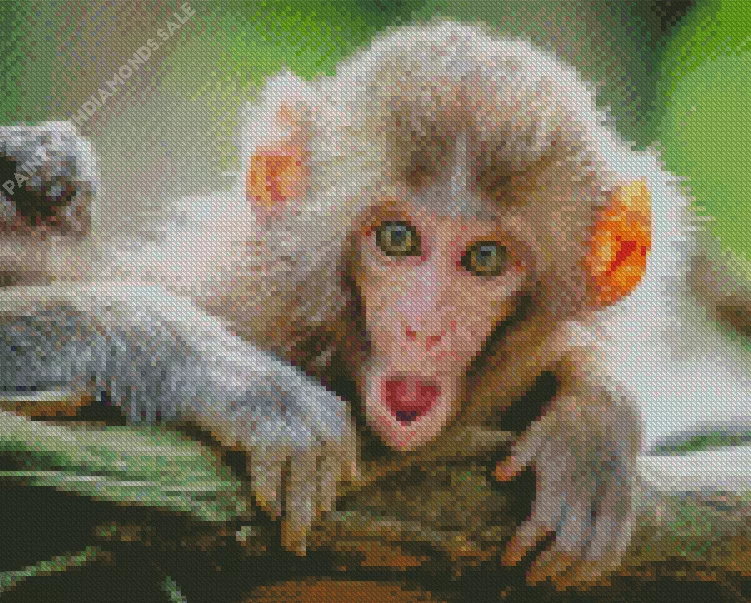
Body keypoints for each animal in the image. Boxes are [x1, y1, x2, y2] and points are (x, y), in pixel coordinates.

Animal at [1, 20, 750, 591]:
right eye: (397, 239)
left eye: (485, 258)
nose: (424, 326)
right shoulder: (228, 288)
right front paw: (245, 384)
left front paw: (592, 425)